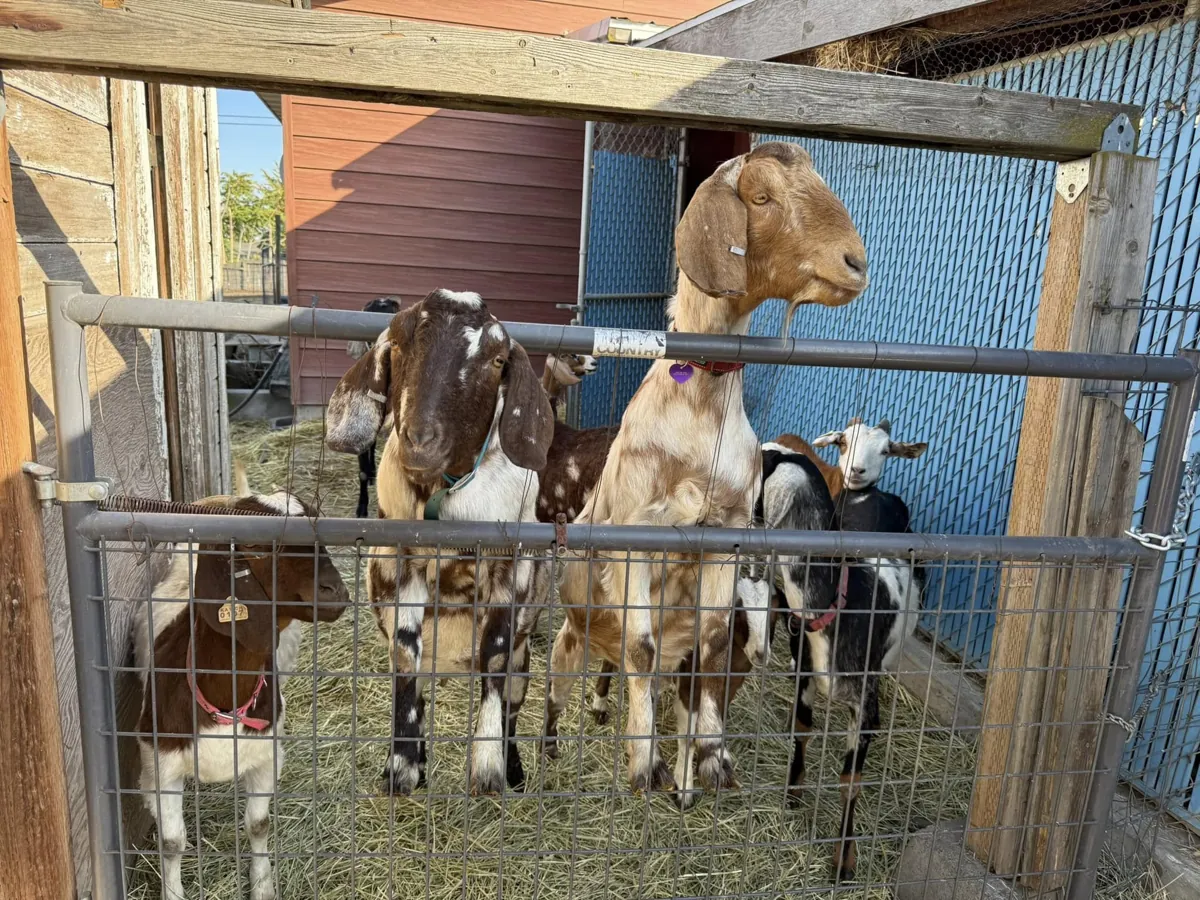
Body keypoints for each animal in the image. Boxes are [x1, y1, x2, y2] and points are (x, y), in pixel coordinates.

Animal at [134, 490, 349, 900]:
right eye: (253, 545)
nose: (335, 592)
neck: (224, 702)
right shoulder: (160, 762)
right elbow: (171, 841)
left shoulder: (266, 755)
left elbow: (259, 825)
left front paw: (263, 886)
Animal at [325, 288, 555, 796]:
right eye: (397, 344)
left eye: (497, 359)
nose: (421, 440)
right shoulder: (400, 566)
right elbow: (404, 657)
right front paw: (402, 765)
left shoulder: (509, 568)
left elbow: (494, 653)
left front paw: (487, 767)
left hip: (525, 659)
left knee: (512, 705)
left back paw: (514, 769)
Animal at [543, 141, 868, 803]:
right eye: (761, 196)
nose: (857, 262)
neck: (698, 415)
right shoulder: (637, 537)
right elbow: (642, 649)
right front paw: (645, 762)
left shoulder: (725, 534)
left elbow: (715, 643)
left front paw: (710, 759)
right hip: (568, 640)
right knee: (560, 691)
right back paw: (543, 758)